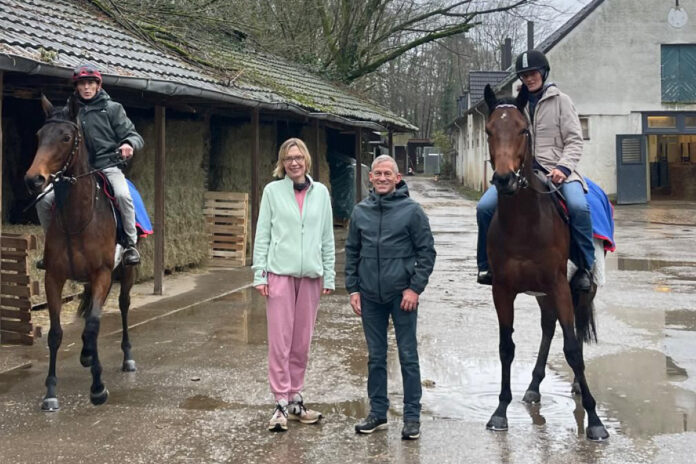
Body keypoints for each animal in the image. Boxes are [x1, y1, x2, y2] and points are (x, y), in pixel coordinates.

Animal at [24, 96, 136, 412]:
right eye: (39, 135)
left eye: (65, 137)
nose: (34, 180)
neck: (78, 217)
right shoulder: (53, 277)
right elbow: (55, 334)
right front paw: (50, 392)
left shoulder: (101, 274)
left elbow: (93, 326)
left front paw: (98, 388)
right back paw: (87, 355)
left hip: (125, 272)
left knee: (123, 306)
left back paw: (127, 358)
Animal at [482, 84, 608, 442]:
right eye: (489, 131)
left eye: (523, 130)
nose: (505, 180)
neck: (525, 222)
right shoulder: (503, 290)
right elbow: (506, 347)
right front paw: (500, 411)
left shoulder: (558, 285)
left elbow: (573, 349)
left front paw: (595, 420)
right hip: (542, 295)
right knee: (549, 327)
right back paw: (534, 387)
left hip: (581, 288)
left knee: (575, 329)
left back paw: (578, 386)